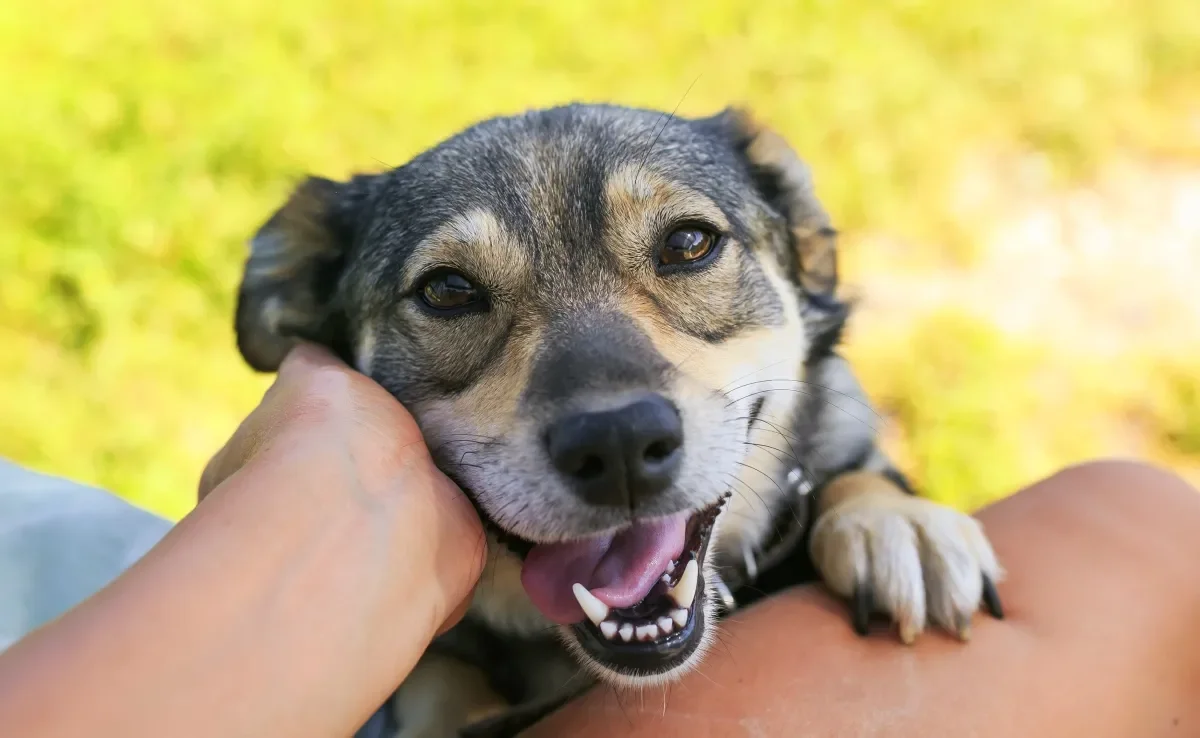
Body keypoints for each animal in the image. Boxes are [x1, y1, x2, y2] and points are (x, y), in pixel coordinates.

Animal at [231, 105, 1003, 738]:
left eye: (689, 242)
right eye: (447, 289)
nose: (619, 444)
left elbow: (848, 474)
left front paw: (896, 522)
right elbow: (440, 682)